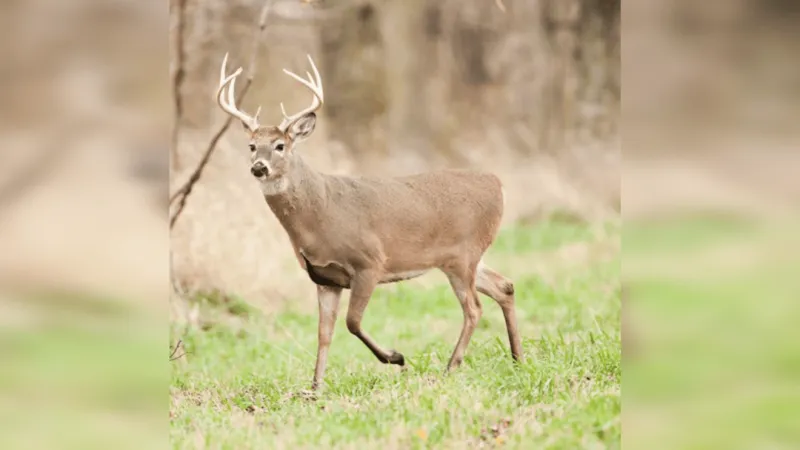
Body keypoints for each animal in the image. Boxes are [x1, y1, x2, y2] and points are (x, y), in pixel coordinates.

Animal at [216, 52, 524, 392]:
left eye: (280, 146)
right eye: (252, 146)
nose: (259, 167)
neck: (320, 212)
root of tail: (497, 184)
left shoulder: (369, 262)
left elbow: (352, 322)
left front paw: (396, 358)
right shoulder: (324, 278)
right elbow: (324, 333)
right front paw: (315, 386)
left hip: (463, 256)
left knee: (473, 308)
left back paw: (451, 367)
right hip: (463, 259)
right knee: (504, 286)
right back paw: (518, 358)